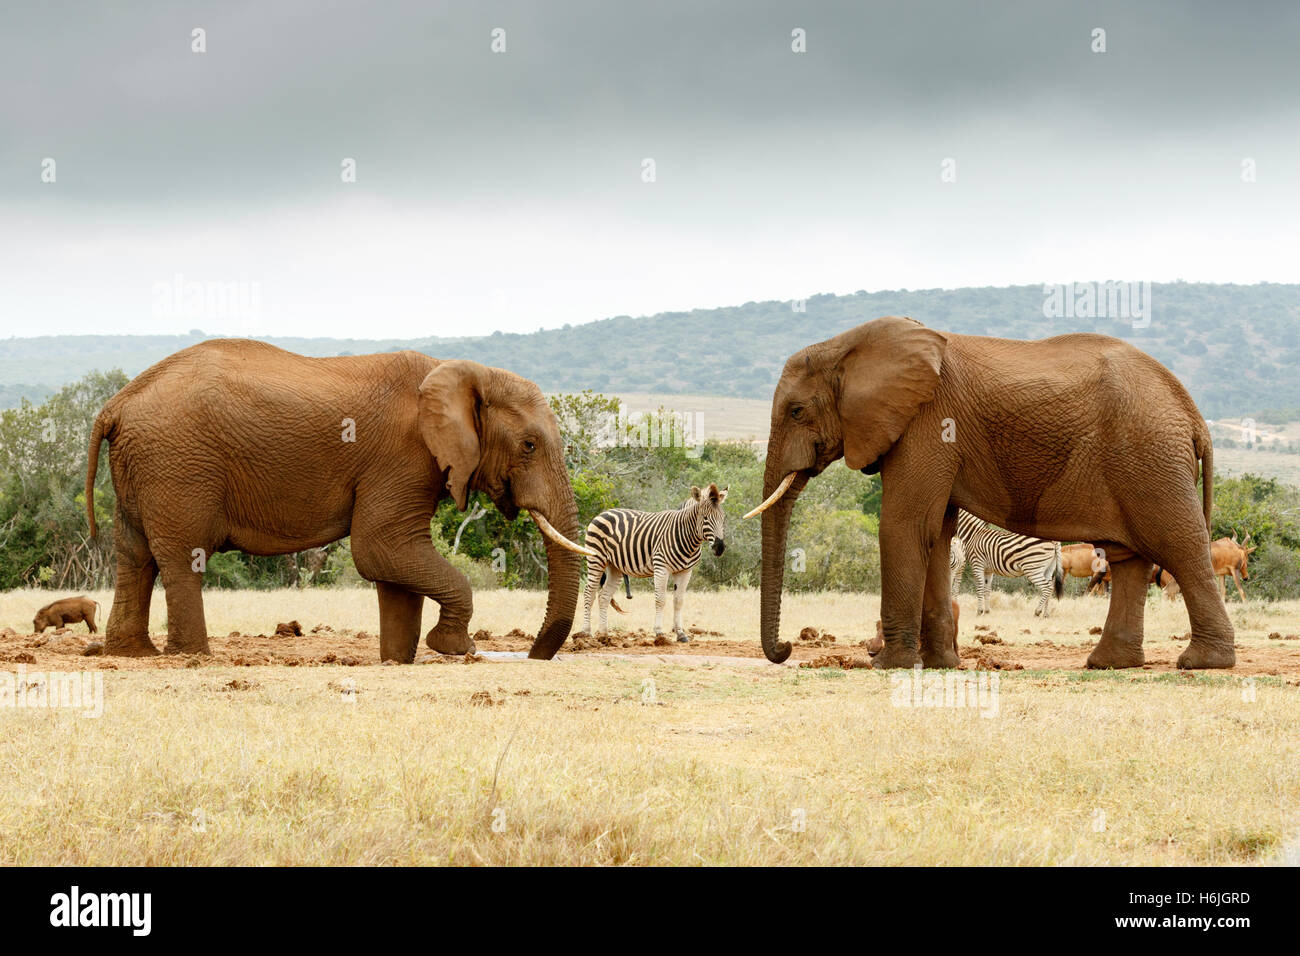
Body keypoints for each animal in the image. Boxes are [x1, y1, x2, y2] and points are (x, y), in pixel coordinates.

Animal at [84, 339, 593, 662]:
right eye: (529, 445)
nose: (533, 655)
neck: (462, 371)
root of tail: (115, 404)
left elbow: (394, 564)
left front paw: (396, 660)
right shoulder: (402, 456)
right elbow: (381, 549)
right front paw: (453, 648)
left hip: (144, 466)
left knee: (134, 556)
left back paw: (133, 654)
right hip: (178, 465)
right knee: (179, 557)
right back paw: (192, 657)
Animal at [747, 315, 1234, 671]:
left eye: (797, 411)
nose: (787, 649)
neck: (847, 346)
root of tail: (1194, 415)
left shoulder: (928, 423)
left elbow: (905, 526)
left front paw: (888, 666)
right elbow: (937, 536)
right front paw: (941, 665)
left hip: (1150, 456)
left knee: (1179, 545)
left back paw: (1201, 663)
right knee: (1128, 560)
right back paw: (1109, 665)